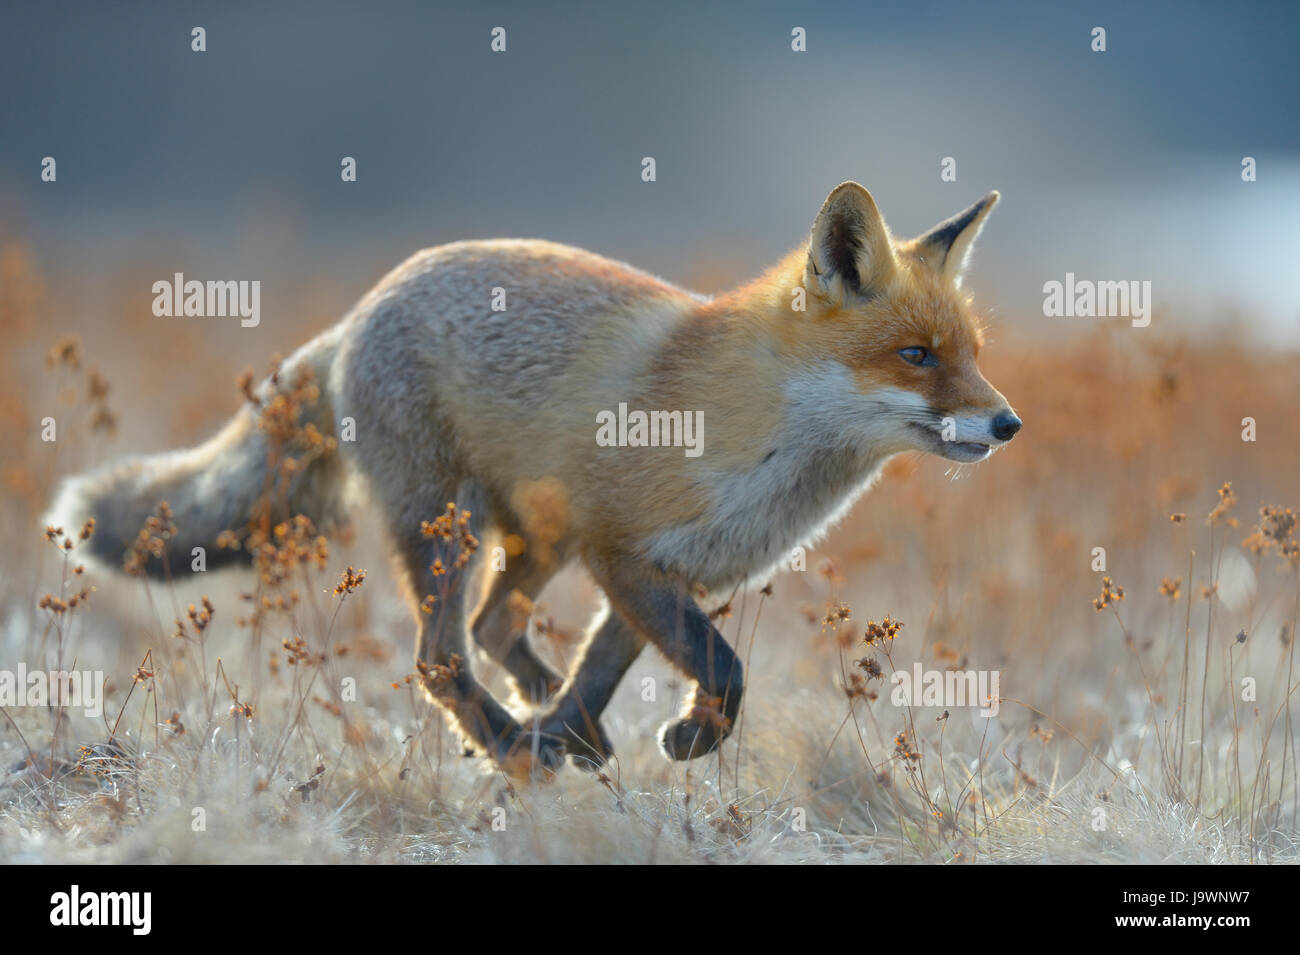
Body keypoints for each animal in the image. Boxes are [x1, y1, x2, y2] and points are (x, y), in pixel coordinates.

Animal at [50, 180, 1019, 784]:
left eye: (972, 354)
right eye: (916, 356)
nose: (1008, 423)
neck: (764, 447)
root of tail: (360, 310)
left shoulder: (658, 571)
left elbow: (607, 671)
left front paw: (581, 731)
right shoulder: (619, 550)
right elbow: (727, 666)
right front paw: (666, 738)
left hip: (534, 538)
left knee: (492, 624)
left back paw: (540, 725)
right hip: (450, 523)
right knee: (443, 654)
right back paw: (511, 743)